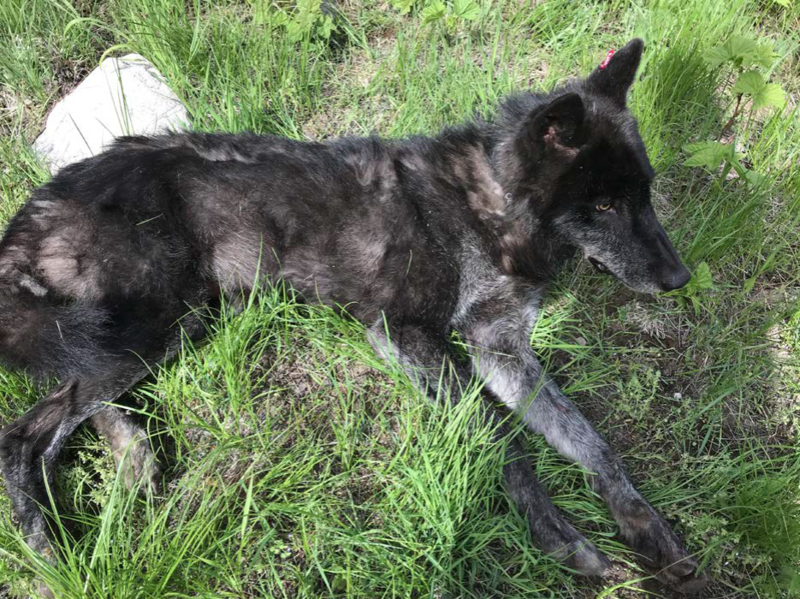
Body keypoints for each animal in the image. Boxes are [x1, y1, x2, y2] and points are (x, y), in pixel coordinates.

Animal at [1, 38, 712, 596]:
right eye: (605, 206)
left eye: (645, 192)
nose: (680, 280)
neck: (489, 205)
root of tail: (32, 210)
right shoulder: (407, 333)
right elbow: (500, 437)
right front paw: (563, 538)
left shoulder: (500, 349)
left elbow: (589, 440)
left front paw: (649, 533)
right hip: (158, 322)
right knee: (26, 433)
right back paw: (53, 554)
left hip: (160, 325)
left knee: (78, 397)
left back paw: (134, 460)